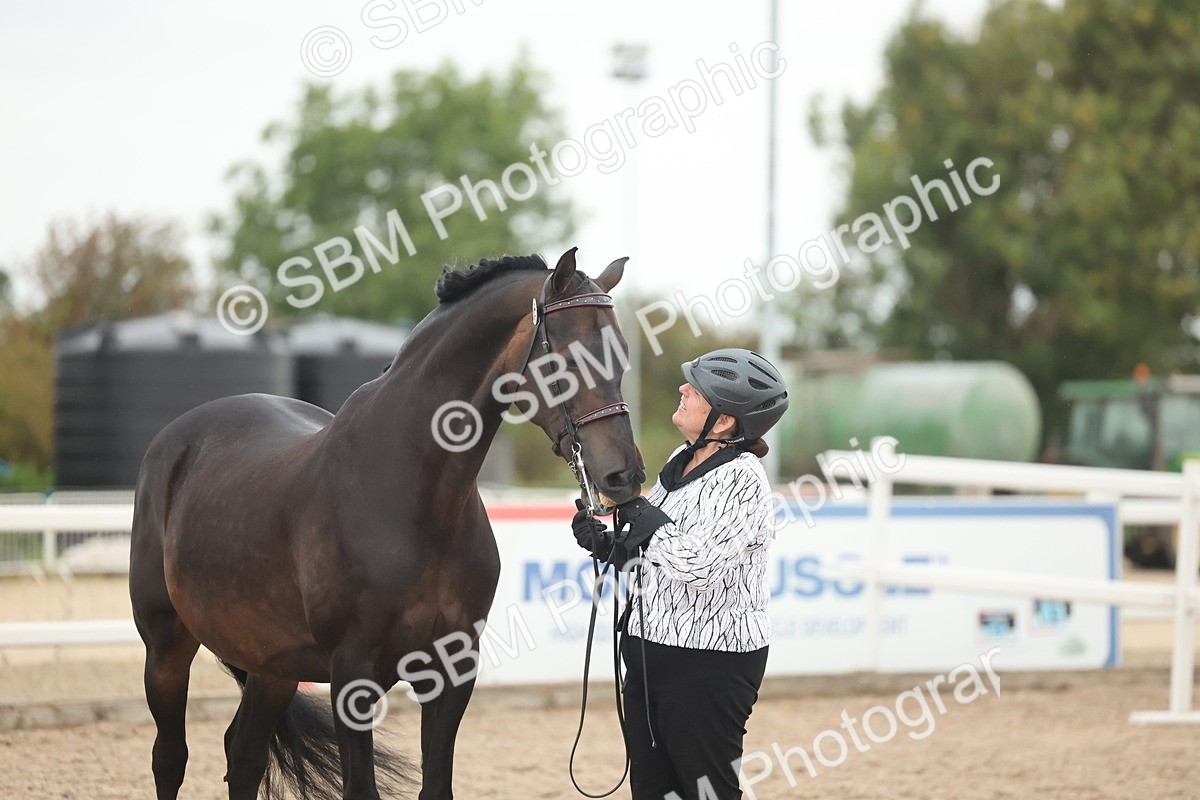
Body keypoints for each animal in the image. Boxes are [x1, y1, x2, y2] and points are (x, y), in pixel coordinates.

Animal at [129, 247, 646, 800]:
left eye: (621, 358)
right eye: (567, 360)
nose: (624, 477)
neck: (412, 499)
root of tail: (175, 440)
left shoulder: (451, 669)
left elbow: (436, 784)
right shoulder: (352, 674)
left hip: (273, 666)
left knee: (244, 754)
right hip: (166, 647)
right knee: (169, 758)